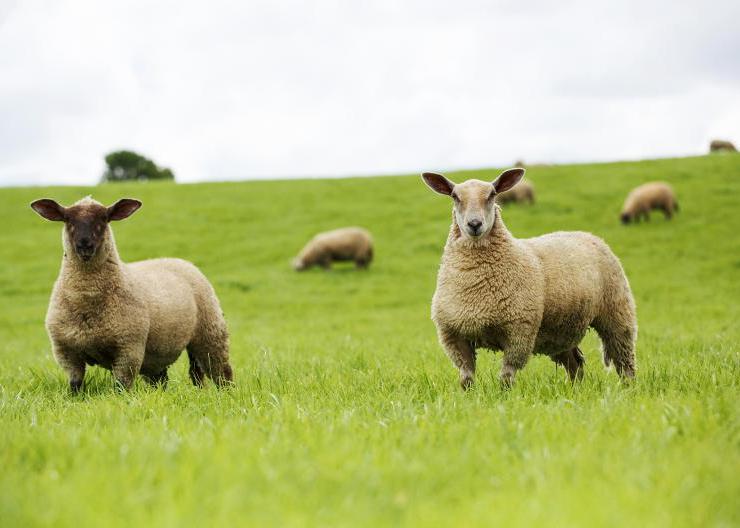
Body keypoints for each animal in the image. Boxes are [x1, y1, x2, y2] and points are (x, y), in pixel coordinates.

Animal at [30, 196, 233, 392]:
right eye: (68, 220)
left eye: (104, 219)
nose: (85, 245)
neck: (87, 299)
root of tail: (181, 261)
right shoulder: (66, 353)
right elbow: (75, 386)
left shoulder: (129, 349)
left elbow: (121, 387)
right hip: (156, 355)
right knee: (172, 378)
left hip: (210, 332)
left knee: (221, 372)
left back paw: (226, 393)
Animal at [422, 169, 637, 389]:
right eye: (455, 196)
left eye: (492, 195)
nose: (474, 224)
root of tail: (589, 235)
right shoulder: (454, 336)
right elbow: (466, 377)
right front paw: (469, 395)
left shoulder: (519, 332)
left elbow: (507, 376)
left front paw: (505, 395)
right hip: (561, 330)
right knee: (575, 363)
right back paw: (575, 389)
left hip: (617, 313)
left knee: (624, 359)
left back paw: (628, 388)